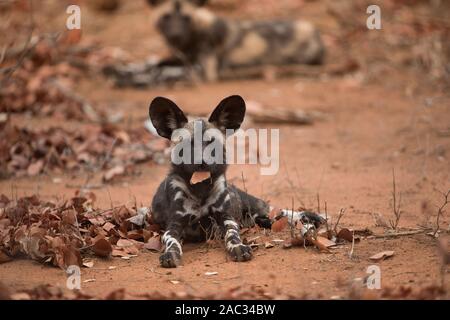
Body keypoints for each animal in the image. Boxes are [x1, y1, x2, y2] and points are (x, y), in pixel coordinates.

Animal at [149, 0, 326, 82]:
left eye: (186, 18)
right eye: (166, 17)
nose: (175, 35)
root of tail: (317, 32)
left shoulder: (206, 73)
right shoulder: (183, 58)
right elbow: (160, 64)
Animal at [149, 95, 326, 268]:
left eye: (212, 144)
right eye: (186, 145)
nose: (201, 161)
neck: (200, 189)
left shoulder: (227, 218)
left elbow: (232, 234)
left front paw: (238, 247)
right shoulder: (174, 225)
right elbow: (171, 241)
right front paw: (170, 254)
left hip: (257, 206)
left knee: (282, 212)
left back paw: (312, 220)